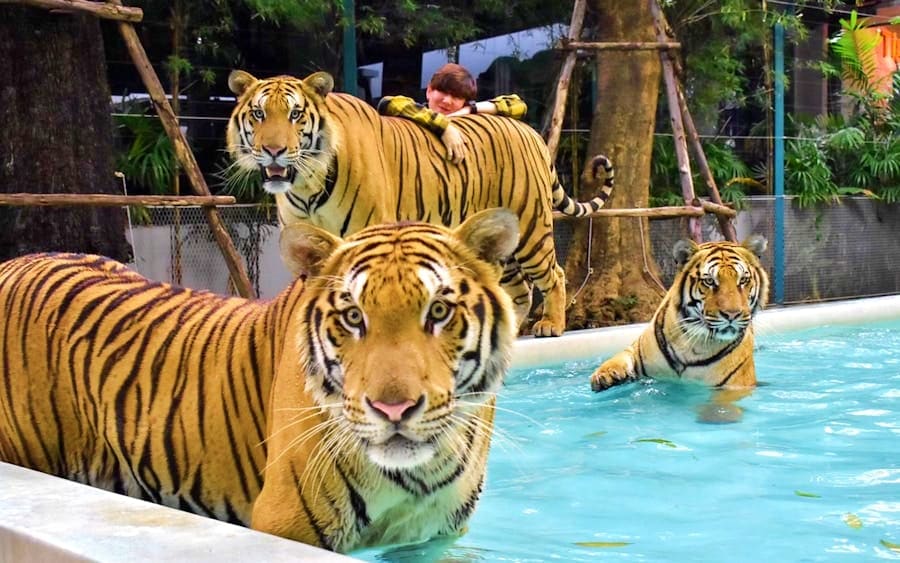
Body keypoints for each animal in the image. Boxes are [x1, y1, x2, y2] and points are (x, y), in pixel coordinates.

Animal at [0, 208, 519, 553]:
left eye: (439, 311)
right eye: (353, 317)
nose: (393, 409)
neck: (417, 475)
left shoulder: (431, 536)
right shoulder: (287, 523)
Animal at [224, 69, 615, 338]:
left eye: (295, 114)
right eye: (259, 114)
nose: (273, 150)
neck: (308, 184)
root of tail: (529, 130)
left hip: (531, 226)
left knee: (554, 274)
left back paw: (551, 324)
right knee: (519, 291)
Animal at [589, 236, 770, 398]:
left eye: (743, 280)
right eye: (709, 281)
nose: (732, 314)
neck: (693, 342)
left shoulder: (734, 386)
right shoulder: (637, 349)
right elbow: (620, 356)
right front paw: (604, 375)